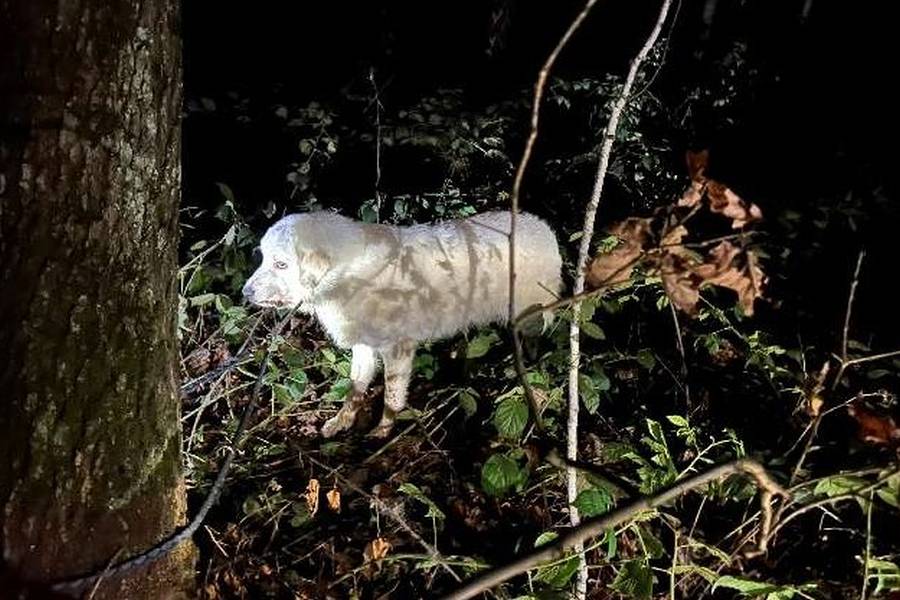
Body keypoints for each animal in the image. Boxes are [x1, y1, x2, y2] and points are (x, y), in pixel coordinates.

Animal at [243, 210, 560, 436]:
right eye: (263, 258)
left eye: (281, 264)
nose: (245, 293)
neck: (347, 274)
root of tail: (546, 229)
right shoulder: (363, 346)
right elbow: (354, 391)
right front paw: (341, 422)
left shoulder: (398, 349)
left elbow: (392, 398)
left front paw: (382, 433)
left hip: (530, 314)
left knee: (537, 340)